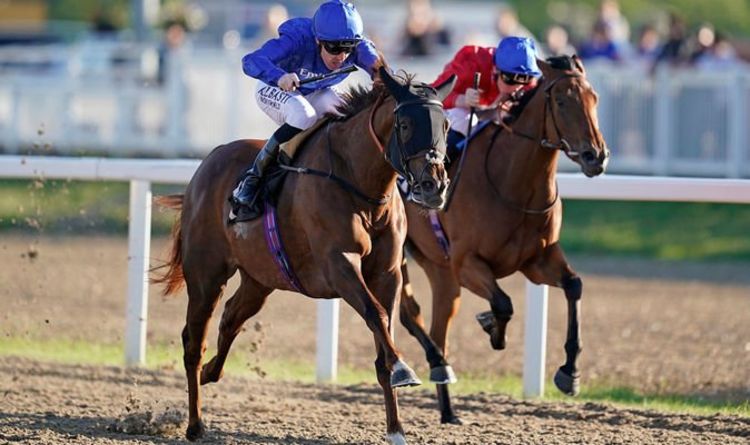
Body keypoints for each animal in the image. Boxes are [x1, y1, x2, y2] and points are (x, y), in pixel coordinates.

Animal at [153, 66, 457, 444]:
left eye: (446, 124)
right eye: (404, 124)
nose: (434, 187)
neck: (361, 185)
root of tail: (205, 165)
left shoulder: (387, 272)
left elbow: (383, 329)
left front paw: (396, 429)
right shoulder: (339, 265)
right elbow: (376, 314)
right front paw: (403, 368)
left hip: (260, 278)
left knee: (231, 319)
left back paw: (211, 373)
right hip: (206, 275)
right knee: (194, 340)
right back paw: (195, 424)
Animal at [397, 56, 610, 424]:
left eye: (594, 98)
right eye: (561, 101)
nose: (595, 156)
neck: (513, 182)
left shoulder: (537, 261)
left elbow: (574, 285)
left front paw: (569, 373)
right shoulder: (467, 263)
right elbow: (503, 303)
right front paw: (492, 328)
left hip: (441, 272)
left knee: (439, 328)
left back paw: (448, 408)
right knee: (409, 313)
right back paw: (439, 367)